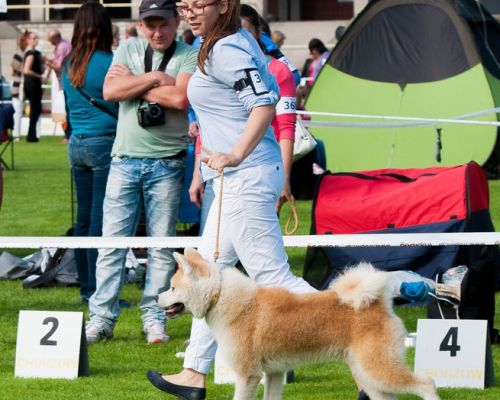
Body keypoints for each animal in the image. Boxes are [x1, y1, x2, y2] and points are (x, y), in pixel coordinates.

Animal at [158, 248, 440, 398]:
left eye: (172, 288)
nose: (157, 298)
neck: (220, 297)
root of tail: (379, 301)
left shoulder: (248, 375)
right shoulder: (273, 373)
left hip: (377, 368)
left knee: (427, 383)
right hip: (369, 373)